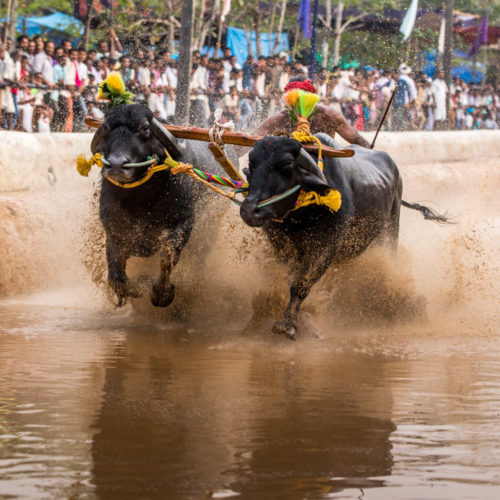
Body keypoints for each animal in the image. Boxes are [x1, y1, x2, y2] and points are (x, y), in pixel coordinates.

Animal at [92, 105, 238, 306]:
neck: (138, 201)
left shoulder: (183, 223)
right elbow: (116, 275)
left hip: (210, 230)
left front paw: (161, 293)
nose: (116, 165)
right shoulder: (114, 231)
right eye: (106, 127)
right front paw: (138, 287)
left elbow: (167, 258)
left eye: (145, 128)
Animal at [240, 135, 448, 340]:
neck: (303, 214)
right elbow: (288, 278)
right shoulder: (282, 246)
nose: (249, 210)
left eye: (287, 163)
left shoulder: (327, 247)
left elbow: (301, 284)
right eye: (252, 164)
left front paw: (286, 323)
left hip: (390, 232)